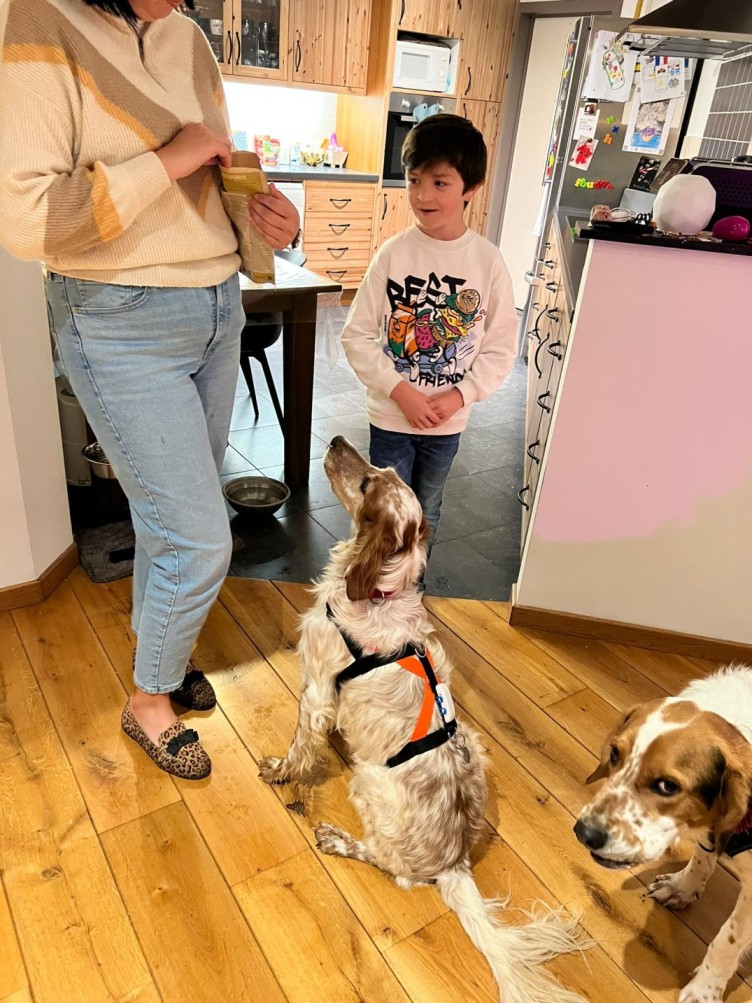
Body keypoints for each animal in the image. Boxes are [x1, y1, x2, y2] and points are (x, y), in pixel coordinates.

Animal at [577, 665, 752, 1003]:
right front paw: (682, 888)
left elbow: (726, 943)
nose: (583, 832)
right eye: (615, 754)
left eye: (667, 786)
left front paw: (704, 991)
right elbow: (701, 859)